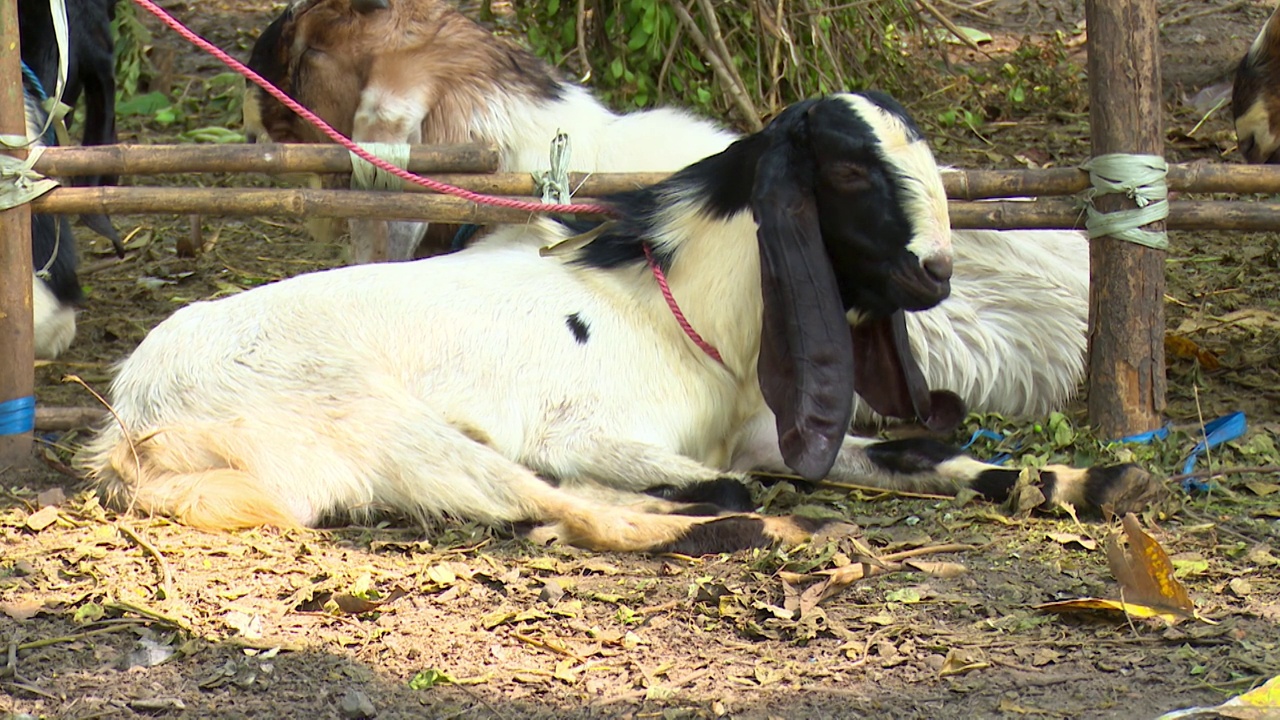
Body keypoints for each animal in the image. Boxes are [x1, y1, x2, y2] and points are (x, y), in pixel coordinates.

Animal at [82, 94, 1162, 548]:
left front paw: (1086, 482)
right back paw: (762, 530)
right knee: (557, 501)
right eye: (852, 173)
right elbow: (705, 478)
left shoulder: (760, 431)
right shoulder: (590, 430)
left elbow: (916, 455)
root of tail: (137, 420)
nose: (935, 273)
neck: (670, 317)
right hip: (377, 420)